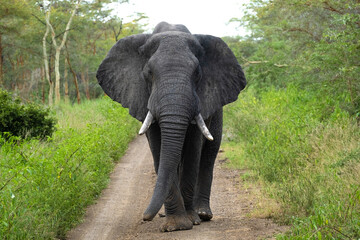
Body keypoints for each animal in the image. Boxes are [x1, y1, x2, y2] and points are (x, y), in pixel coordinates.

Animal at [97, 21, 246, 232]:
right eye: (149, 74)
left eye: (197, 74)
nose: (145, 217)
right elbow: (159, 148)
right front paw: (175, 225)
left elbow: (193, 150)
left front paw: (189, 222)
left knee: (209, 153)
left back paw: (202, 214)